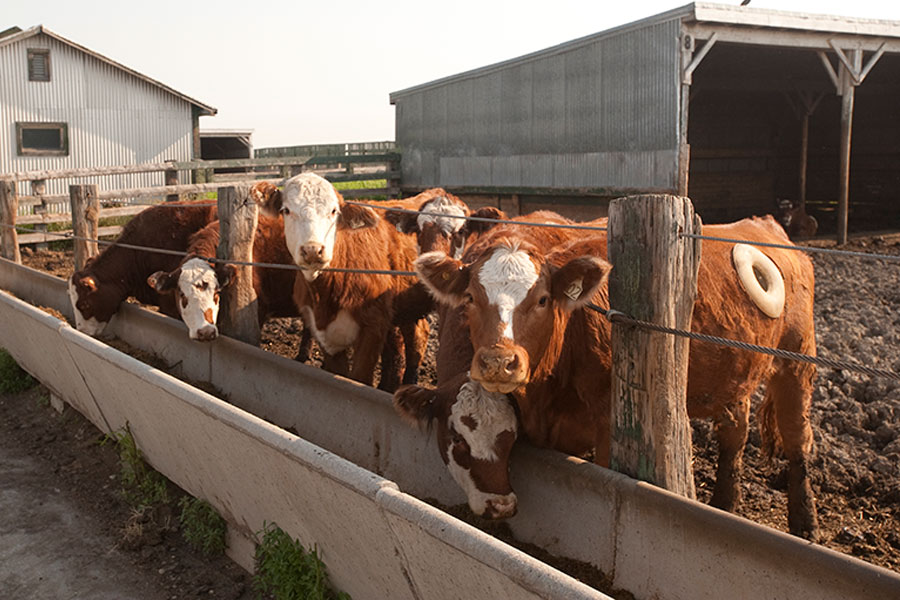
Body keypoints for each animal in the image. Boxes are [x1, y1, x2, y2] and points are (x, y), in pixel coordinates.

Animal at [398, 214, 820, 540]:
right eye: (470, 297)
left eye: (542, 299)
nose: (498, 362)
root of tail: (765, 224)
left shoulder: (606, 426)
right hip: (736, 378)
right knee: (735, 432)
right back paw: (724, 502)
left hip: (797, 361)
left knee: (797, 437)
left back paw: (805, 522)